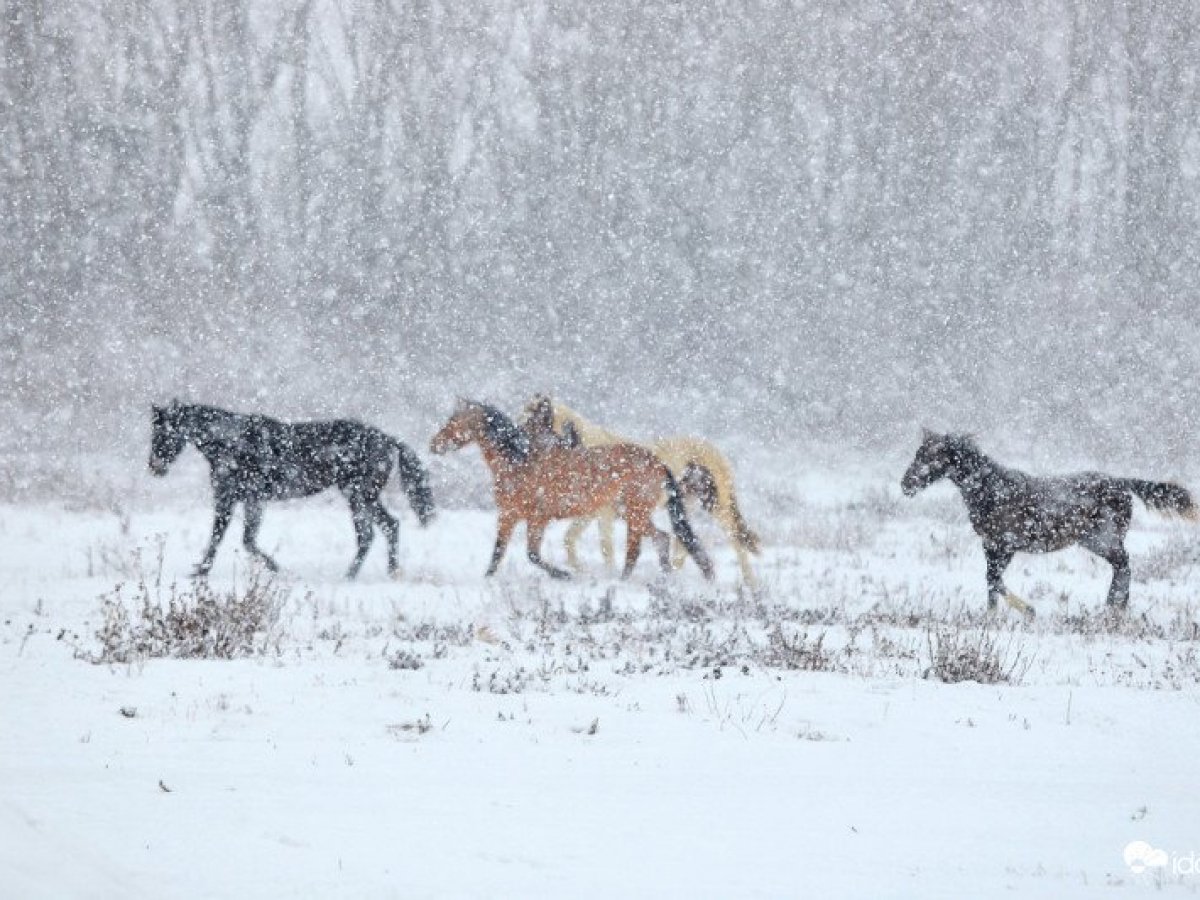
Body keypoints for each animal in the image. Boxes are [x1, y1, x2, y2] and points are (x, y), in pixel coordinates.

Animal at [147, 400, 434, 578]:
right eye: (154, 433)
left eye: (166, 434)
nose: (155, 468)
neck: (232, 442)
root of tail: (388, 440)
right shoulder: (241, 500)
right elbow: (237, 539)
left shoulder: (238, 498)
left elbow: (229, 538)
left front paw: (276, 569)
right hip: (361, 496)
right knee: (382, 529)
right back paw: (374, 573)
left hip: (359, 494)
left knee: (376, 531)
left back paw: (360, 575)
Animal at [432, 400, 710, 585]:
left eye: (454, 421)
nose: (434, 444)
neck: (520, 463)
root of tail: (658, 463)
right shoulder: (508, 516)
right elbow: (497, 554)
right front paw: (487, 581)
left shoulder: (537, 519)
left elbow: (532, 554)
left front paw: (565, 575)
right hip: (629, 513)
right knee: (662, 538)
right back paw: (664, 578)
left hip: (634, 512)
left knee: (636, 550)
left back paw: (622, 582)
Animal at [523, 396, 758, 585]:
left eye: (531, 422)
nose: (519, 448)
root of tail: (714, 451)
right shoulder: (593, 512)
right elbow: (570, 539)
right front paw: (581, 573)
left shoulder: (604, 513)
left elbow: (605, 546)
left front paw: (608, 577)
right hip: (687, 506)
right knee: (684, 542)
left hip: (715, 505)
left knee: (735, 540)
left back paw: (749, 585)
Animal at [902, 434, 1195, 619]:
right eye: (918, 453)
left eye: (932, 456)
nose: (906, 485)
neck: (992, 491)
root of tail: (1122, 483)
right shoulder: (991, 546)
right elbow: (991, 582)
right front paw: (992, 617)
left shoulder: (1005, 545)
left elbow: (993, 579)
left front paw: (1028, 611)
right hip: (1096, 541)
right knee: (1122, 566)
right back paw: (1115, 607)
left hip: (1103, 538)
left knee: (1123, 565)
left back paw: (1113, 607)